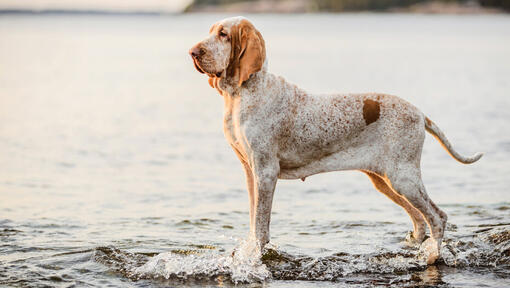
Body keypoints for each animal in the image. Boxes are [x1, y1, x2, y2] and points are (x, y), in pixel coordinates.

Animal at [188, 15, 482, 264]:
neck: (243, 93)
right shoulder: (250, 171)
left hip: (403, 177)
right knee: (420, 220)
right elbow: (252, 220)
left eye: (224, 34)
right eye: (212, 31)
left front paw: (255, 258)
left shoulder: (266, 172)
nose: (192, 52)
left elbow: (261, 226)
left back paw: (432, 257)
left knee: (437, 217)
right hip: (386, 181)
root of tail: (420, 114)